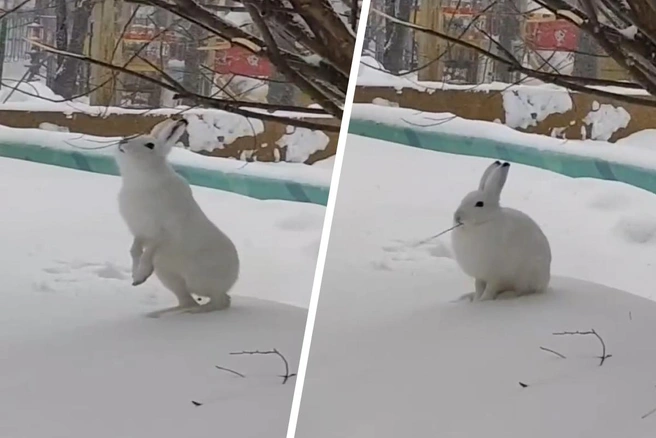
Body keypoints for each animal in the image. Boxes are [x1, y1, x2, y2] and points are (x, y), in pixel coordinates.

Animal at [115, 118, 241, 316]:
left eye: (150, 145)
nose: (123, 142)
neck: (142, 181)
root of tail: (234, 276)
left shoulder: (164, 231)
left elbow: (149, 251)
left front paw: (142, 274)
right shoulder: (140, 232)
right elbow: (134, 250)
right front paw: (136, 278)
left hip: (199, 279)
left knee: (221, 301)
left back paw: (195, 313)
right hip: (170, 278)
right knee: (187, 300)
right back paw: (161, 313)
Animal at [448, 161, 552, 302]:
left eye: (479, 204)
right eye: (463, 199)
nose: (457, 217)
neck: (480, 224)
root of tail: (546, 281)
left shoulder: (495, 275)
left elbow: (490, 288)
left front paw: (484, 301)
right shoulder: (480, 275)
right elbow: (478, 287)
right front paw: (476, 300)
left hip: (527, 276)